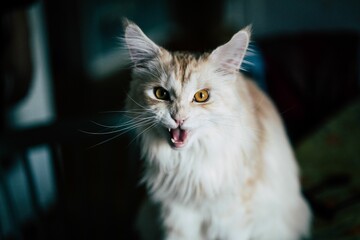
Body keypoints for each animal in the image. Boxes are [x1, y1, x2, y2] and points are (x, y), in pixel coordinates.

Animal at [122, 19, 310, 240]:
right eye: (160, 94)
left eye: (201, 96)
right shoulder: (176, 212)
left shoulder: (232, 214)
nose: (178, 118)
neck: (189, 165)